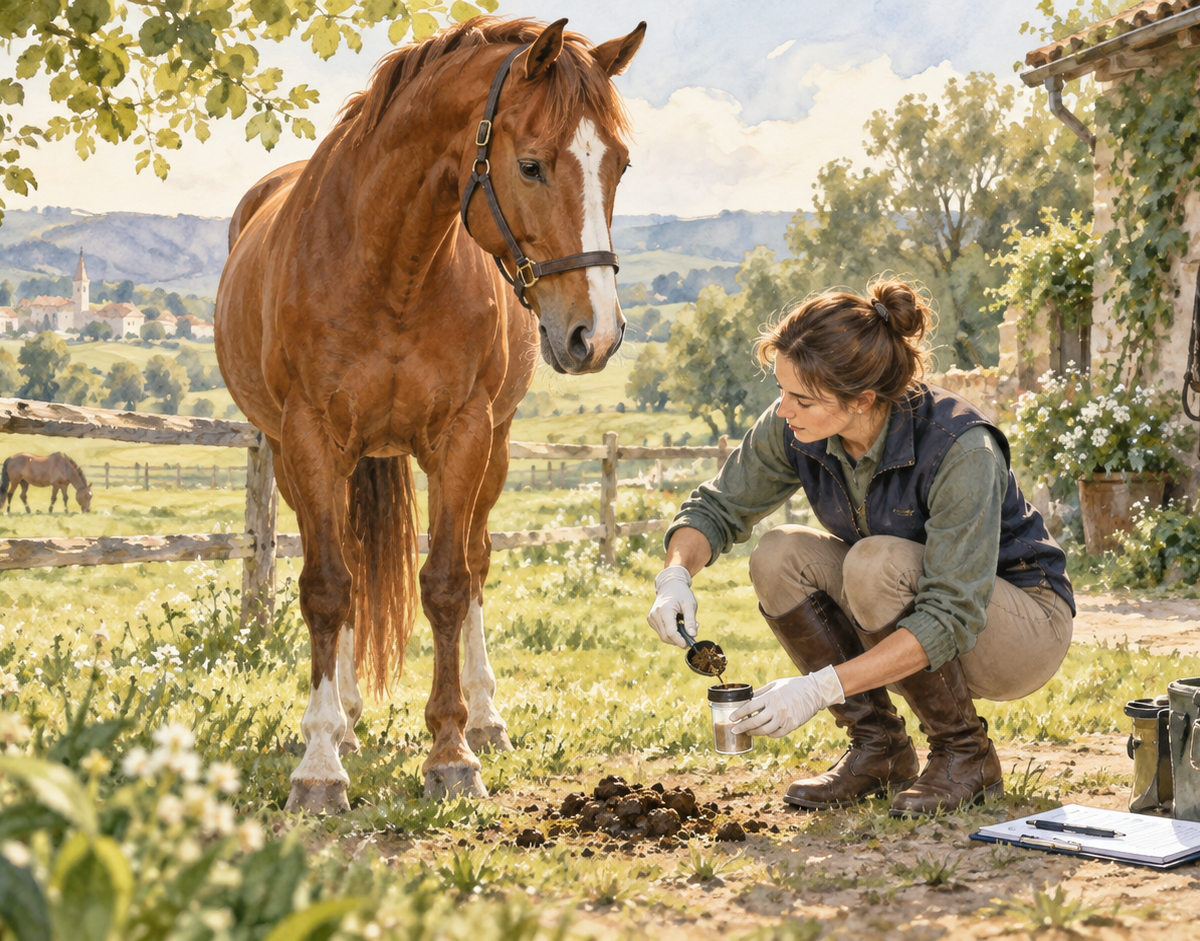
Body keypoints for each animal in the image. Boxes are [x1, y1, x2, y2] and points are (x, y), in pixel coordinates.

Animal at [215, 16, 645, 812]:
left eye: (620, 166)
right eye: (532, 165)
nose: (594, 335)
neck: (390, 268)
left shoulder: (464, 436)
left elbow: (448, 582)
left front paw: (450, 752)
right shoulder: (309, 439)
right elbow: (328, 589)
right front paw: (319, 762)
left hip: (493, 451)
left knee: (475, 564)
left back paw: (484, 718)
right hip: (304, 461)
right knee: (350, 570)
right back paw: (345, 721)